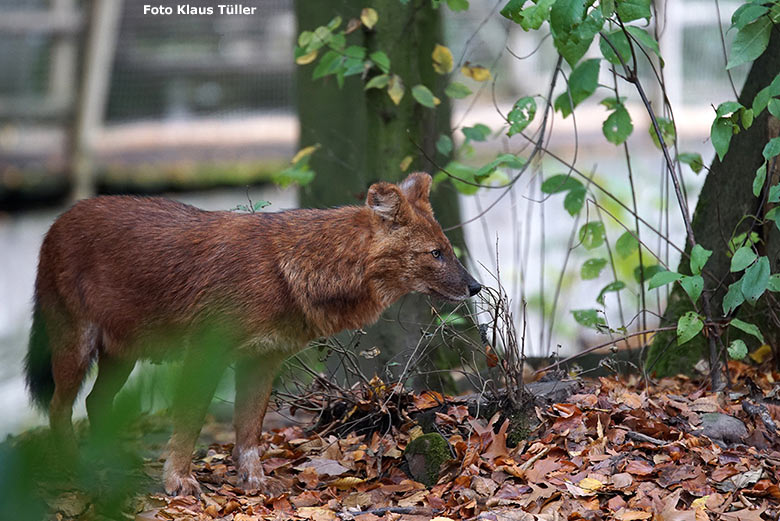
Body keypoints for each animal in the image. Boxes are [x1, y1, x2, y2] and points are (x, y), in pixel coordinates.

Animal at [25, 173, 482, 494]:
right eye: (435, 253)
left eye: (448, 249)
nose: (475, 287)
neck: (291, 271)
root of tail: (58, 222)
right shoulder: (205, 354)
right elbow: (190, 421)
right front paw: (179, 481)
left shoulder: (262, 360)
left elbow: (249, 431)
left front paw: (256, 482)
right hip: (75, 343)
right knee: (60, 407)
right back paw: (74, 468)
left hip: (123, 353)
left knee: (95, 402)